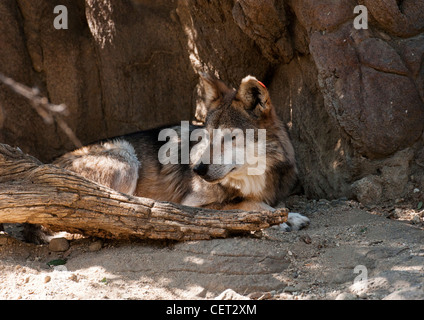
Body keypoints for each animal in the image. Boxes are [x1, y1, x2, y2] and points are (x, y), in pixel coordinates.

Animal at [54, 74, 310, 234]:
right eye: (207, 135)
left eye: (229, 137)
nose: (197, 169)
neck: (251, 181)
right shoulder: (194, 206)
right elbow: (244, 204)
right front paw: (276, 220)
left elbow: (270, 205)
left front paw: (288, 216)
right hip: (125, 155)